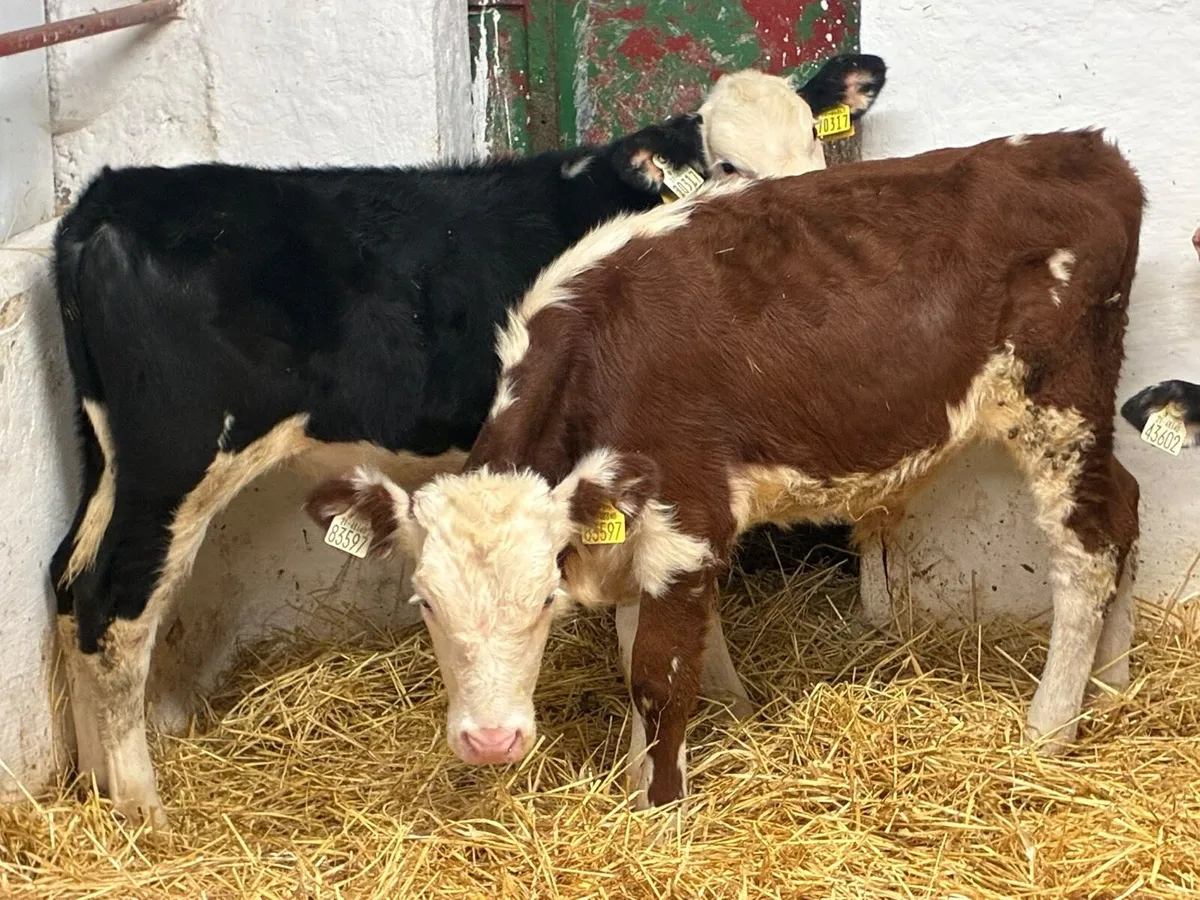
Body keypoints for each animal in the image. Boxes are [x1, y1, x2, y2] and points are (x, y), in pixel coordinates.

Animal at [49, 54, 887, 829]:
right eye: (727, 166)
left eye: (815, 140)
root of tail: (112, 197)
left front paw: (730, 707)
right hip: (175, 457)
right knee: (114, 609)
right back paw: (143, 811)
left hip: (108, 456)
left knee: (66, 578)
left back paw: (93, 791)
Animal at [307, 129, 1145, 811]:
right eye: (424, 603)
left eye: (545, 600)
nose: (489, 742)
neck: (601, 354)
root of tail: (1088, 149)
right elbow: (636, 646)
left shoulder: (685, 519)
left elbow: (657, 675)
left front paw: (660, 809)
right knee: (1128, 505)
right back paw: (1112, 683)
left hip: (1060, 404)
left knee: (1087, 551)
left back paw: (1051, 726)